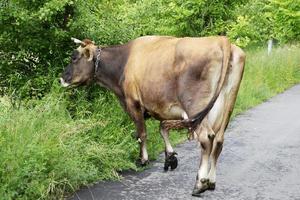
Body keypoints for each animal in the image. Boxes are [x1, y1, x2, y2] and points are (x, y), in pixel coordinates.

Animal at [59, 35, 245, 196]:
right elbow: (162, 128)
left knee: (206, 138)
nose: (61, 78)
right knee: (219, 141)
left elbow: (141, 133)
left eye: (74, 58)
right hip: (227, 105)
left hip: (196, 105)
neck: (123, 62)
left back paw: (200, 184)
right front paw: (170, 158)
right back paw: (211, 182)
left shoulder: (133, 103)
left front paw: (143, 160)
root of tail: (221, 40)